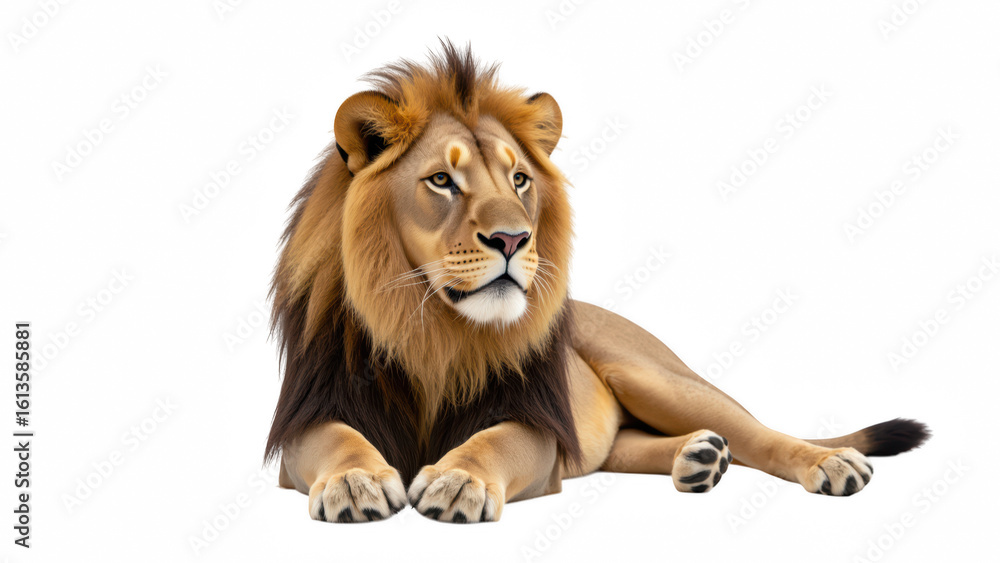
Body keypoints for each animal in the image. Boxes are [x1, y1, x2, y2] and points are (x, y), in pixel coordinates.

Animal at [265, 41, 928, 523]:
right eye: (441, 181)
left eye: (520, 180)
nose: (513, 240)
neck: (429, 326)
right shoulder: (305, 420)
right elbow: (338, 441)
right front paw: (355, 479)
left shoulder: (536, 423)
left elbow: (491, 443)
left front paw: (458, 480)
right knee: (625, 445)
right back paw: (699, 458)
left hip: (656, 376)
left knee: (761, 432)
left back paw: (828, 462)